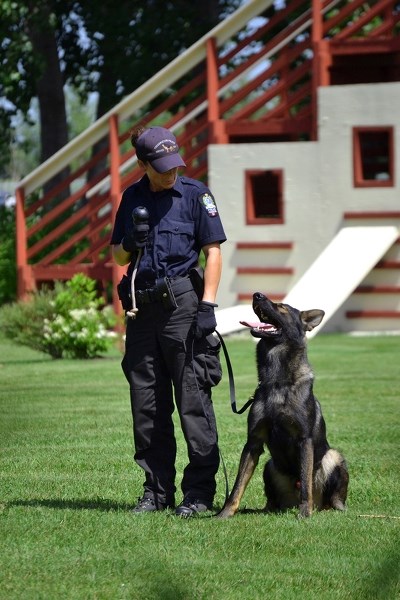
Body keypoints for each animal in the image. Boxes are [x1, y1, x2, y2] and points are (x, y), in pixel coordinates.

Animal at [217, 292, 348, 516]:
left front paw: (304, 514)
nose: (257, 295)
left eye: (282, 308)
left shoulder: (304, 440)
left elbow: (305, 482)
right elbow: (237, 485)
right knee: (271, 501)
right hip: (269, 466)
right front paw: (225, 514)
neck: (278, 381)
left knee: (331, 498)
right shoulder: (253, 443)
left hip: (333, 457)